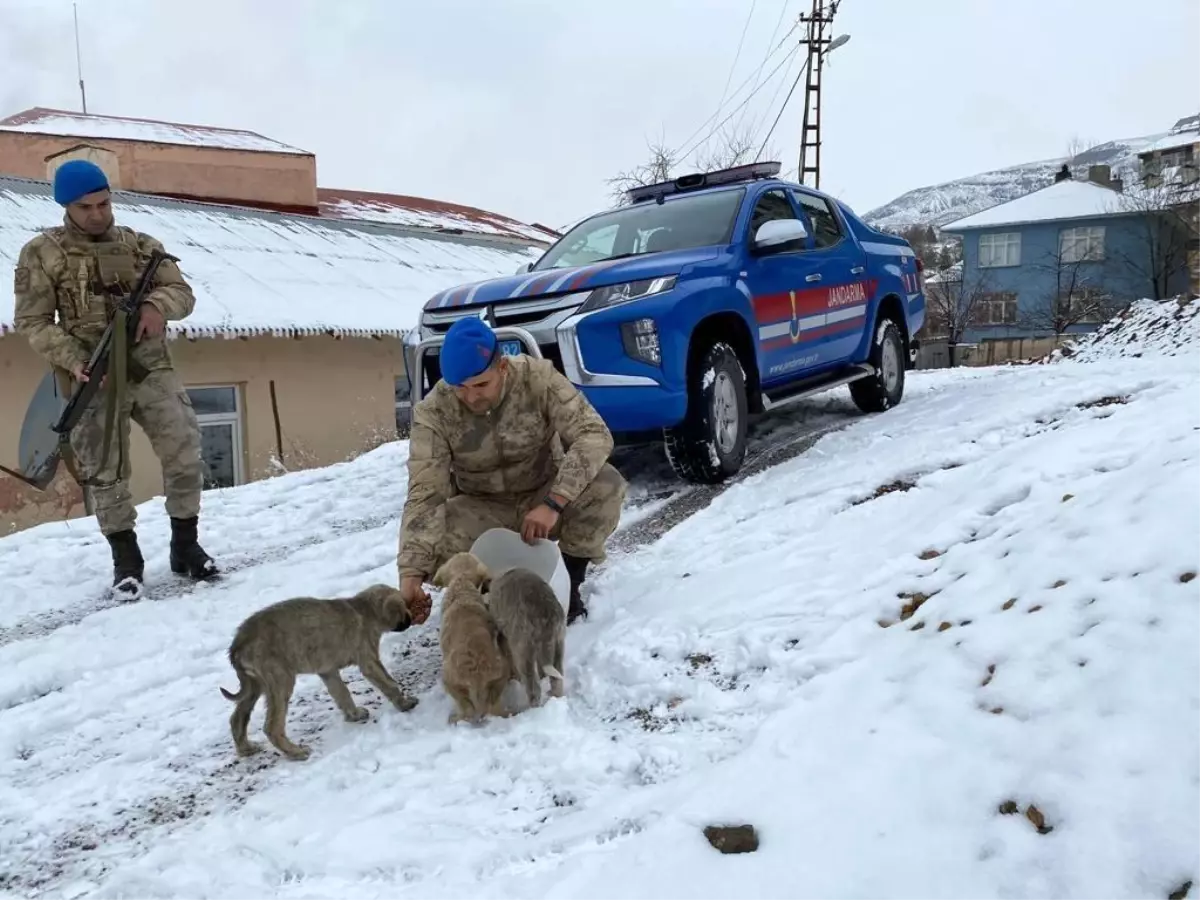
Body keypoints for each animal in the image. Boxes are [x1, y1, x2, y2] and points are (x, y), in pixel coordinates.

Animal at [218, 585, 420, 763]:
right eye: (404, 605)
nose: (411, 617)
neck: (365, 609)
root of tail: (238, 644)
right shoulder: (368, 661)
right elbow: (389, 683)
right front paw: (404, 703)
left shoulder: (328, 671)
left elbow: (342, 693)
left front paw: (354, 714)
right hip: (280, 680)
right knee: (271, 727)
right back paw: (296, 752)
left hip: (255, 685)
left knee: (237, 718)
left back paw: (246, 749)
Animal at [434, 554, 513, 729]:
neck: (461, 584)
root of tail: (478, 674)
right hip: (501, 674)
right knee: (495, 708)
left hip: (449, 679)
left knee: (467, 710)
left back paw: (455, 719)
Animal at [484, 566, 564, 710]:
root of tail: (546, 615)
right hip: (558, 643)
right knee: (557, 678)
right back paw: (556, 698)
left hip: (524, 650)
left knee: (533, 688)